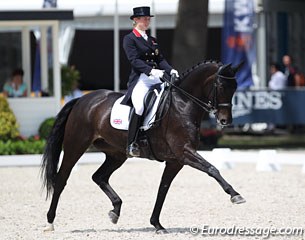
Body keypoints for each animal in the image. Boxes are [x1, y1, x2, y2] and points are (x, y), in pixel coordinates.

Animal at [41, 60, 245, 232]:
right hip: (75, 146)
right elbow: (212, 169)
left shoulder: (176, 161)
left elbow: (163, 189)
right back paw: (50, 222)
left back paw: (115, 210)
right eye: (221, 86)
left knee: (99, 176)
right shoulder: (184, 152)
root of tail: (82, 100)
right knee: (61, 179)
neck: (183, 104)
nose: (225, 121)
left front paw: (157, 224)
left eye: (235, 87)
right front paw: (235, 195)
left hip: (116, 154)